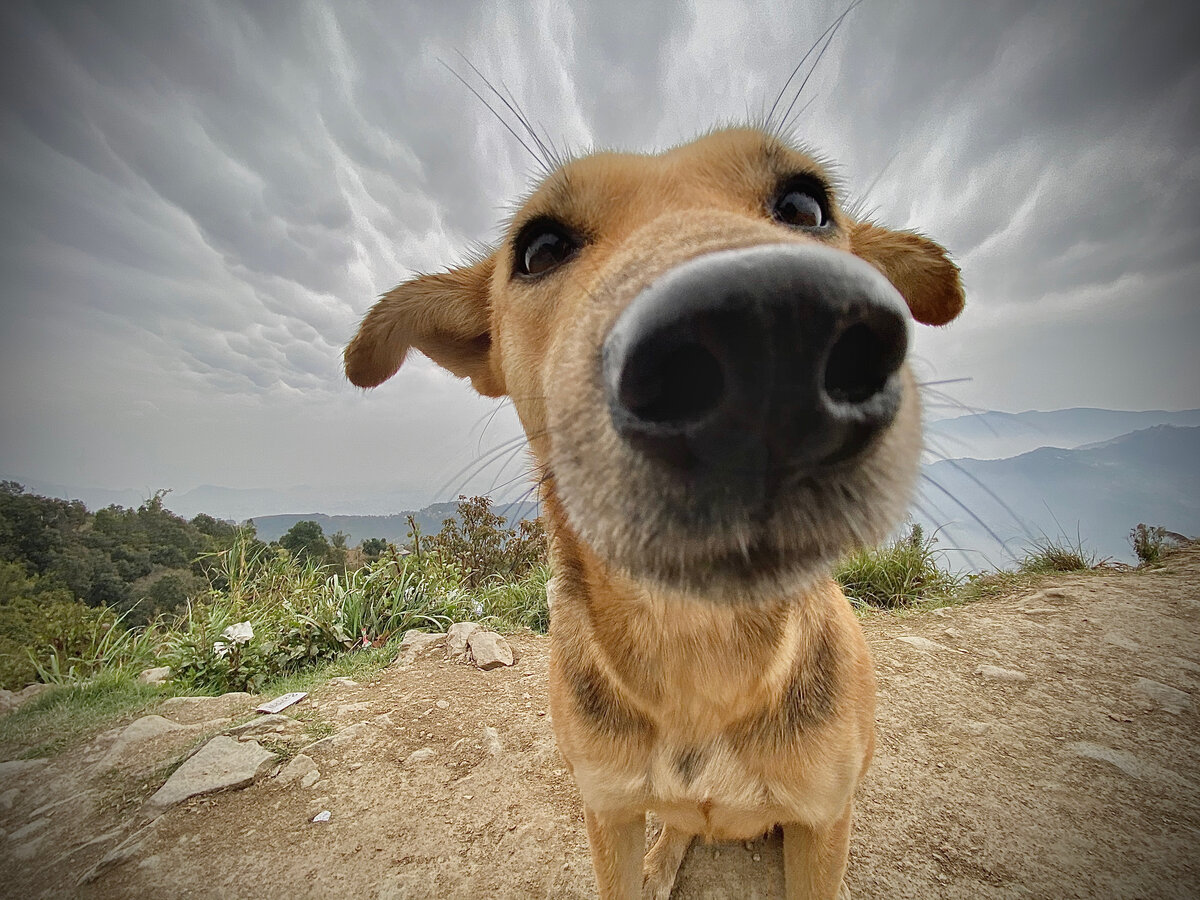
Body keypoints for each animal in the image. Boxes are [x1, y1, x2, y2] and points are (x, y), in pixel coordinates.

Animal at [345, 128, 964, 900]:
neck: (699, 647)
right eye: (540, 248)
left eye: (805, 205)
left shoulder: (824, 818)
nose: (764, 329)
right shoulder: (607, 811)